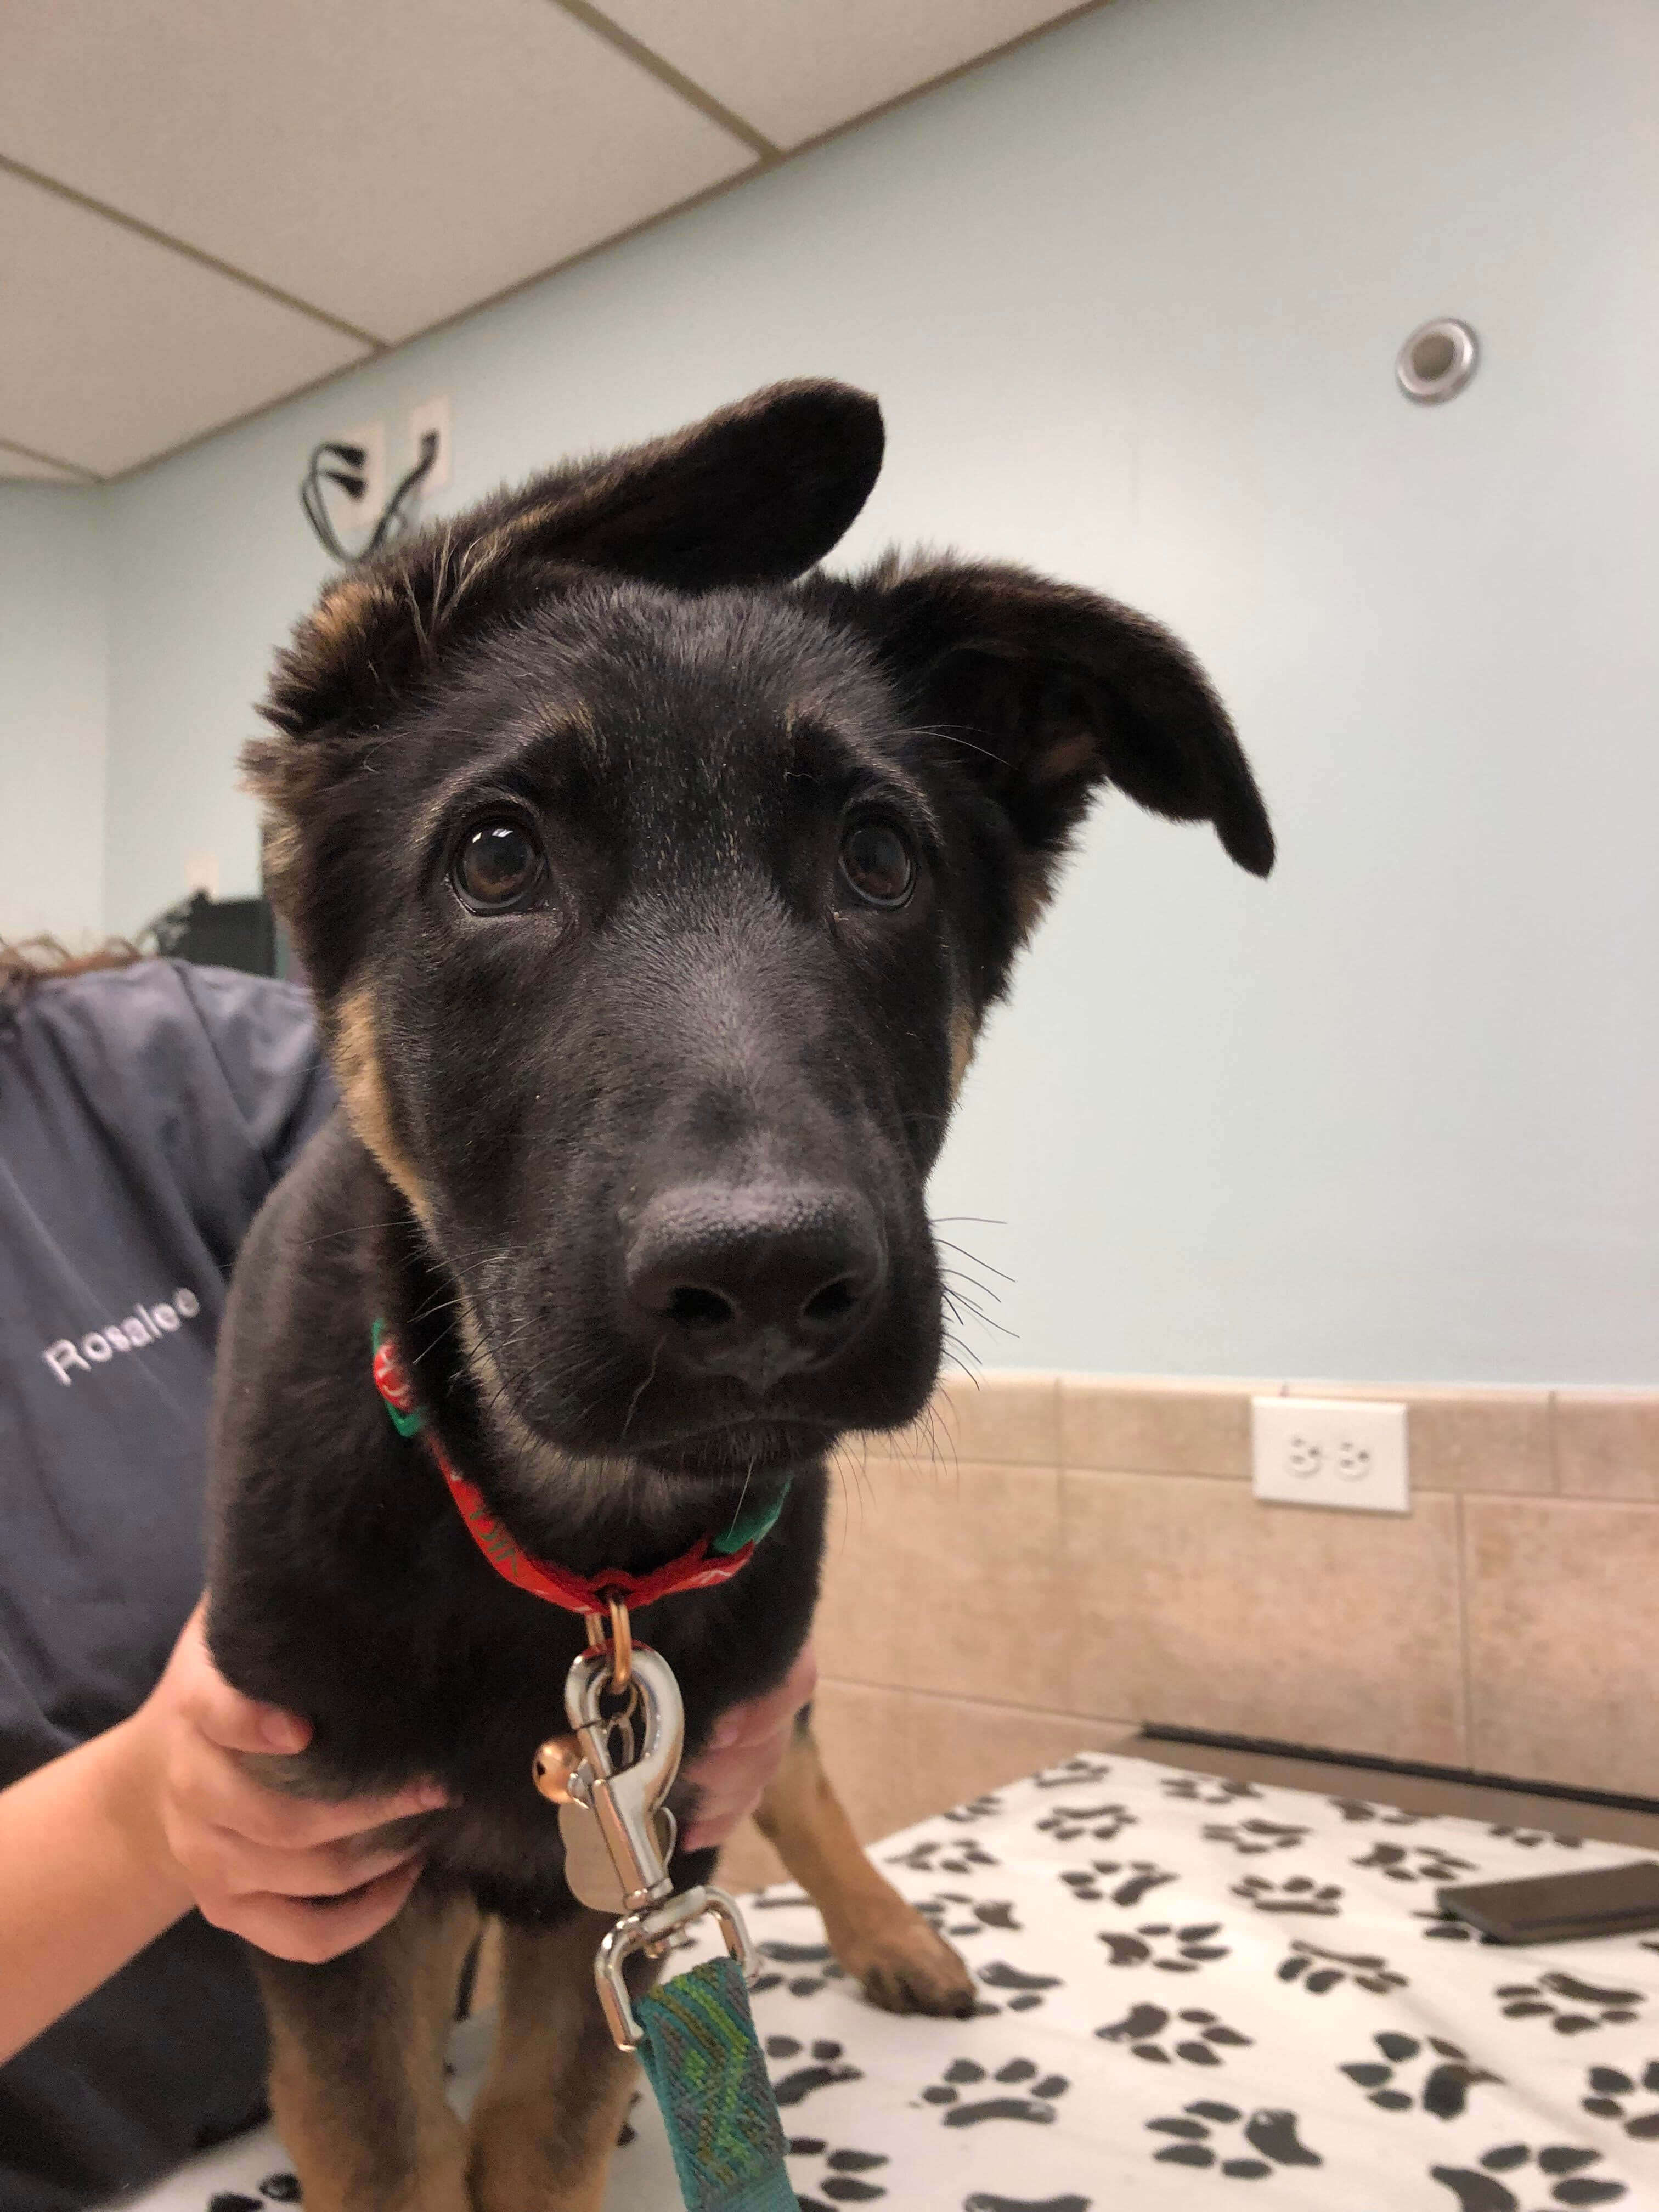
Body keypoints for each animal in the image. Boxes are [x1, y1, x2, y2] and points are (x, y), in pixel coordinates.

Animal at [208, 385, 1274, 2212]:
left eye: (880, 857)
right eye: (496, 857)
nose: (768, 1277)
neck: (569, 1555)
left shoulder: (647, 1847)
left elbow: (547, 2122)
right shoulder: (335, 1881)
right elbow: (402, 2139)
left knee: (810, 1769)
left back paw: (890, 1928)